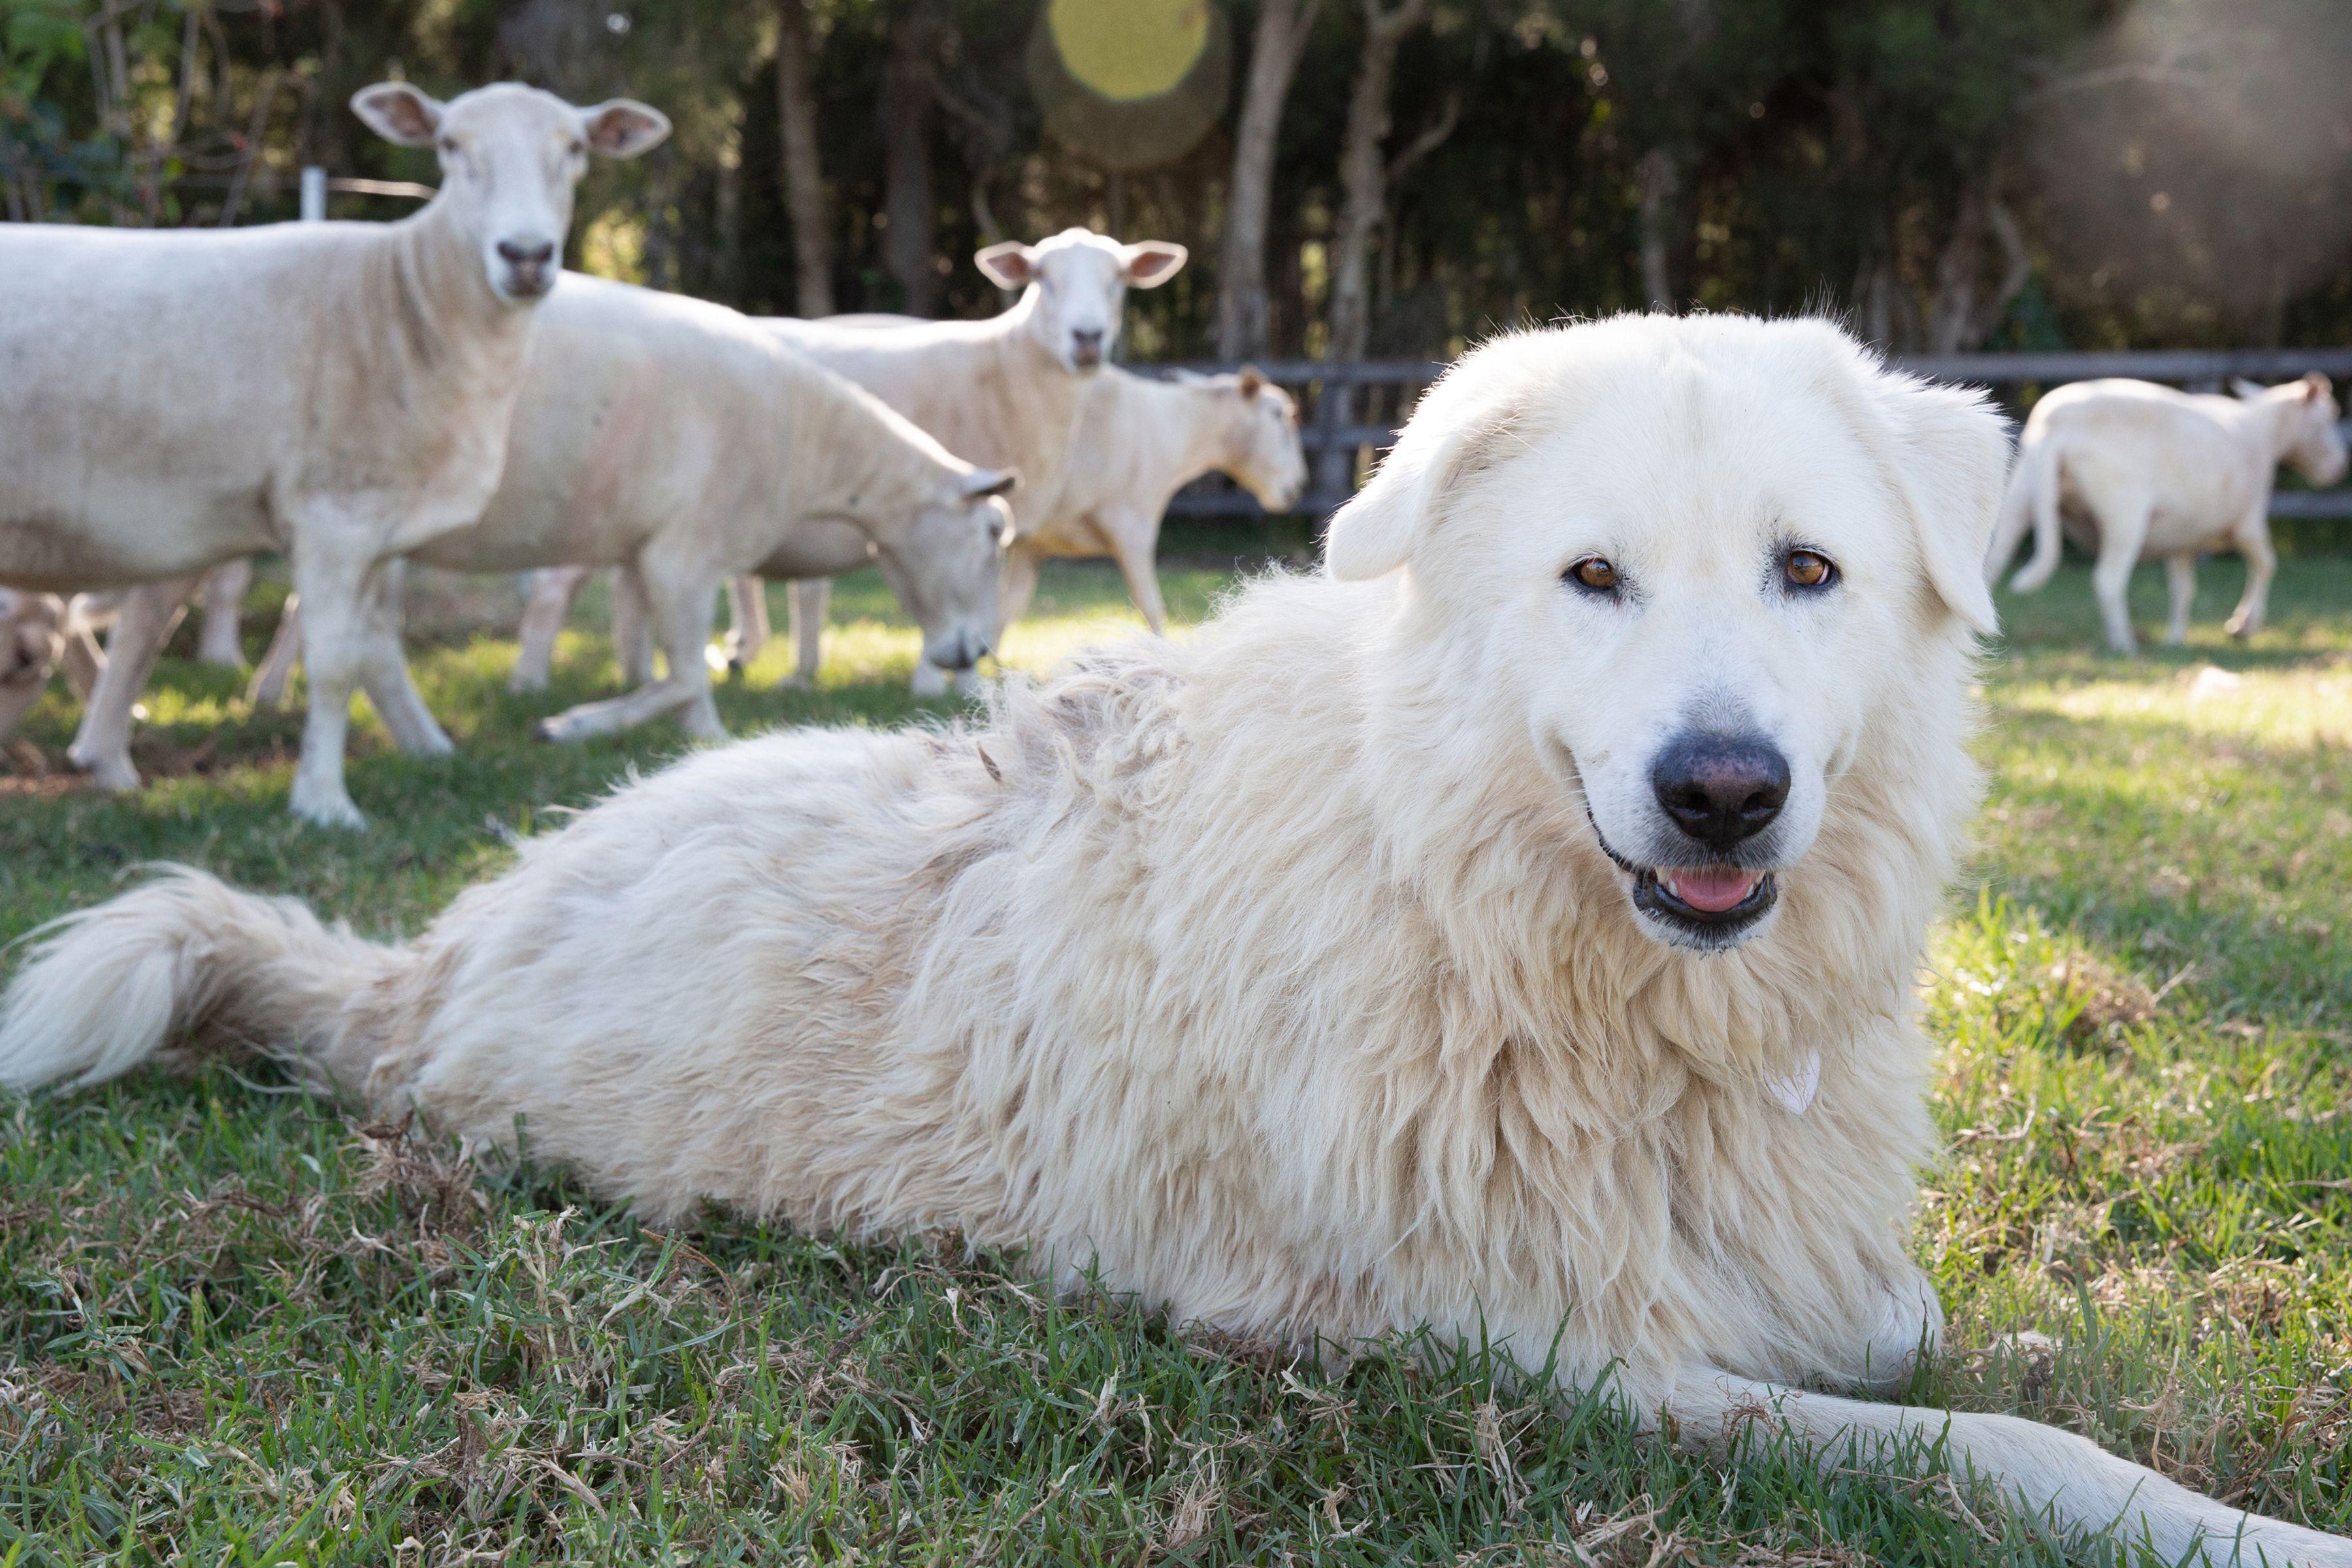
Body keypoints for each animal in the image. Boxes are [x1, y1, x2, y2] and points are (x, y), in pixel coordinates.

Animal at [0, 84, 672, 827]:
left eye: (575, 148)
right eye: (450, 146)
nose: (525, 254)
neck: (405, 303)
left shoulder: (383, 523)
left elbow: (373, 649)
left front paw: (422, 752)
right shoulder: (333, 515)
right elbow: (333, 665)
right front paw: (324, 803)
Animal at [1985, 371, 2352, 653]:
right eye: (2330, 415)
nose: (2340, 469)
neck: (2263, 433)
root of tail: (2053, 426)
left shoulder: (2182, 538)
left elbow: (2183, 588)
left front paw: (2176, 639)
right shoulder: (2246, 521)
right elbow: (2266, 564)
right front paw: (2242, 626)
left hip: (2018, 496)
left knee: (1991, 567)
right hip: (2124, 513)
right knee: (2108, 580)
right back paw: (2124, 644)